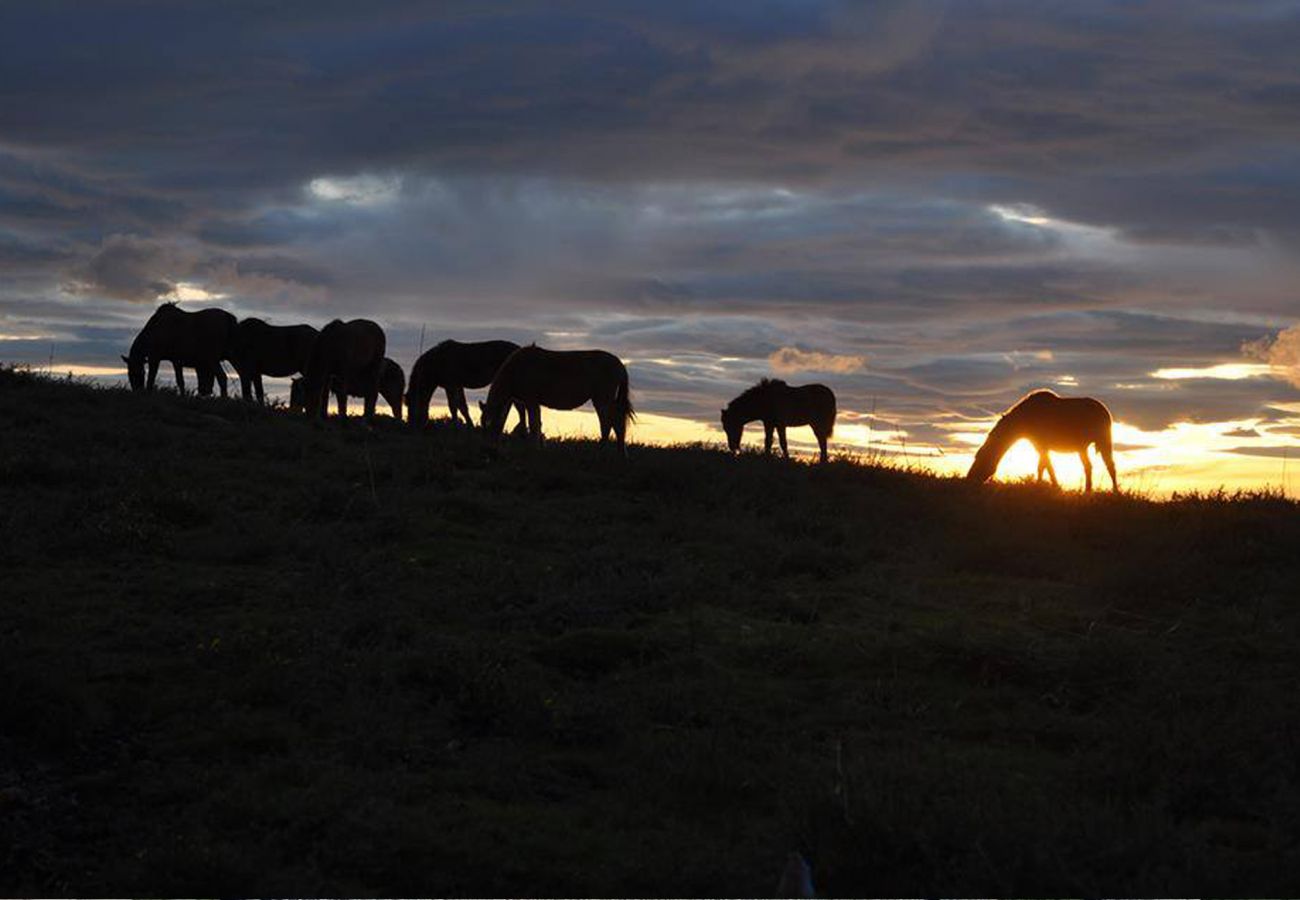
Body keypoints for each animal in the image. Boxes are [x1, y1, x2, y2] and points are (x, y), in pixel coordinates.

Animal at [483, 345, 634, 457]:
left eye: (490, 425)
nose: (489, 450)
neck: (517, 369)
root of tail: (620, 364)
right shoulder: (533, 403)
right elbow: (537, 423)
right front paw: (539, 447)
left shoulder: (531, 400)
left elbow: (534, 424)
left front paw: (534, 449)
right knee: (618, 423)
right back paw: (621, 454)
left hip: (602, 400)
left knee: (607, 423)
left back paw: (601, 451)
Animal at [967, 387, 1118, 491]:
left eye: (979, 458)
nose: (969, 478)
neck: (1023, 420)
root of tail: (1105, 411)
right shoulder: (1040, 447)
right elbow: (1044, 467)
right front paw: (1045, 486)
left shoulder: (1042, 446)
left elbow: (1045, 467)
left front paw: (1047, 486)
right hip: (1082, 448)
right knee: (1088, 467)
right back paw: (1087, 491)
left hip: (1104, 441)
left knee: (1110, 465)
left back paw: (1115, 492)